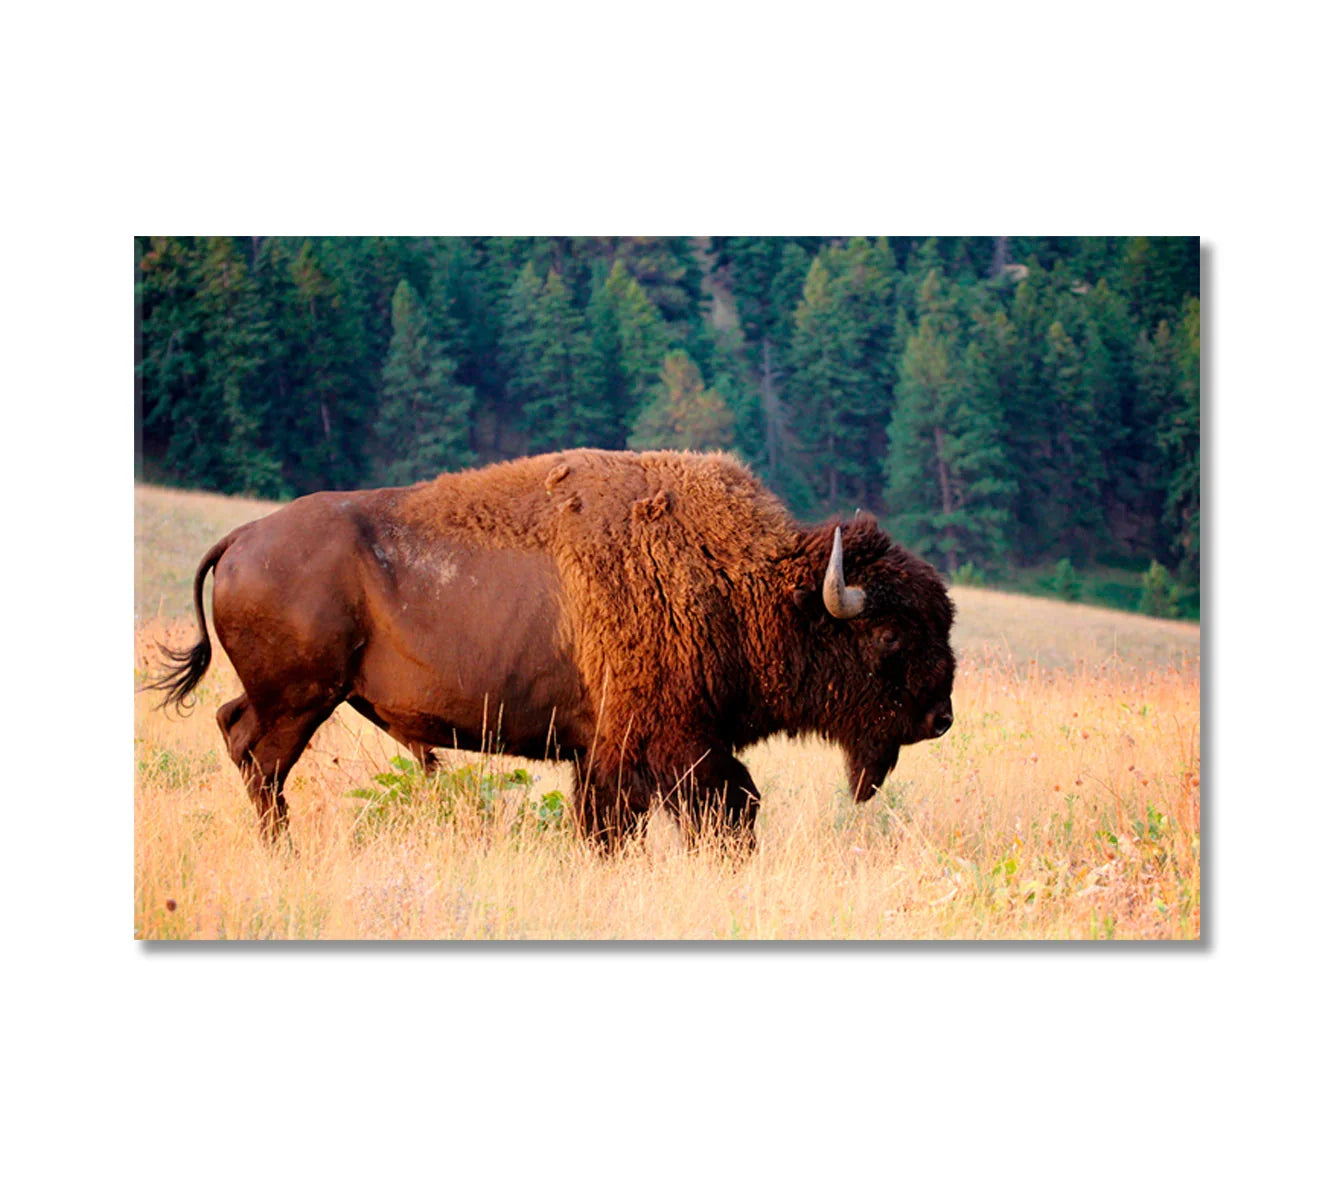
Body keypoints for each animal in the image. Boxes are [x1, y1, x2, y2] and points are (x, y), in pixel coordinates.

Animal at [148, 449, 955, 849]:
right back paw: (283, 849)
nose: (940, 717)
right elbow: (724, 810)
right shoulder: (671, 745)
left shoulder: (606, 752)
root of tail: (241, 538)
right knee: (260, 759)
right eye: (889, 635)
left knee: (233, 730)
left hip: (291, 697)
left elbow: (613, 823)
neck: (740, 580)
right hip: (299, 700)